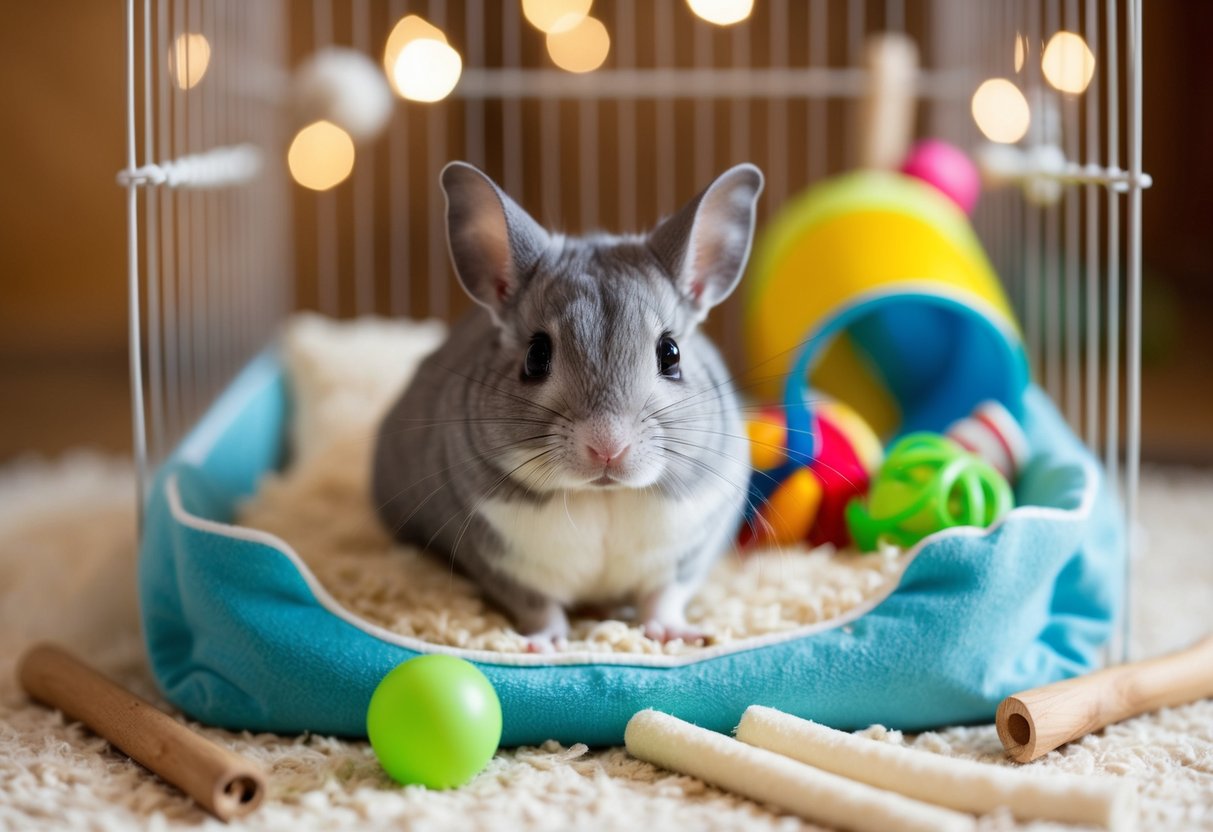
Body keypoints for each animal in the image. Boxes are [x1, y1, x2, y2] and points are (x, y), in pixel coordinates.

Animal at [372, 160, 764, 649]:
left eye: (670, 354)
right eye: (536, 356)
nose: (607, 448)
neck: (602, 495)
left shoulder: (691, 550)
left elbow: (664, 596)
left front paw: (680, 635)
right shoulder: (498, 559)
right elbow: (539, 606)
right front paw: (544, 643)